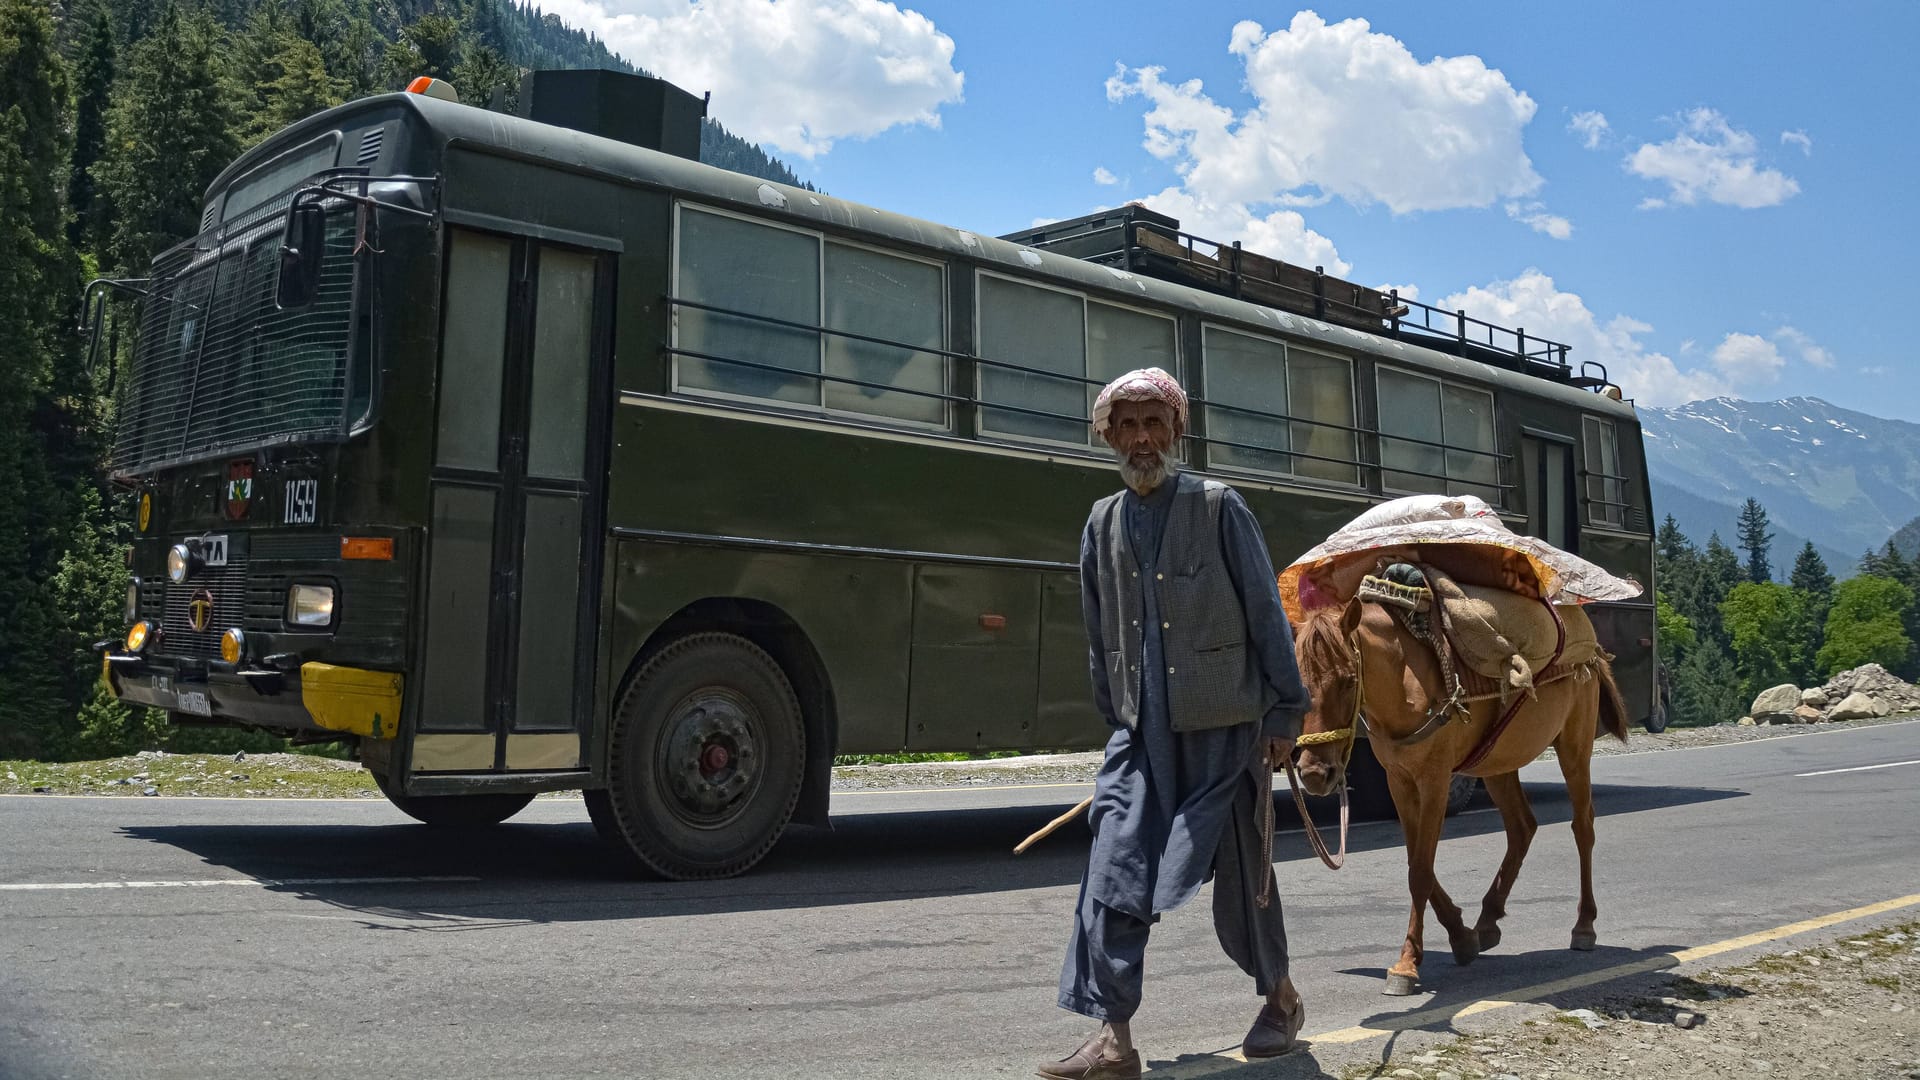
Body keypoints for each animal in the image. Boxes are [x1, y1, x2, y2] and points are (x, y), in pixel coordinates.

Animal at [1282, 591, 1628, 991]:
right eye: (1299, 686)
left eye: (1349, 680)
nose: (1315, 774)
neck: (1406, 682)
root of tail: (1592, 648)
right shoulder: (1399, 782)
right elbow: (1417, 862)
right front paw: (1461, 937)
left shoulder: (1435, 780)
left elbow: (1420, 870)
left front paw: (1406, 964)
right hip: (1497, 762)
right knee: (1522, 827)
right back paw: (1488, 921)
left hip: (1574, 745)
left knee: (1582, 827)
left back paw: (1584, 925)